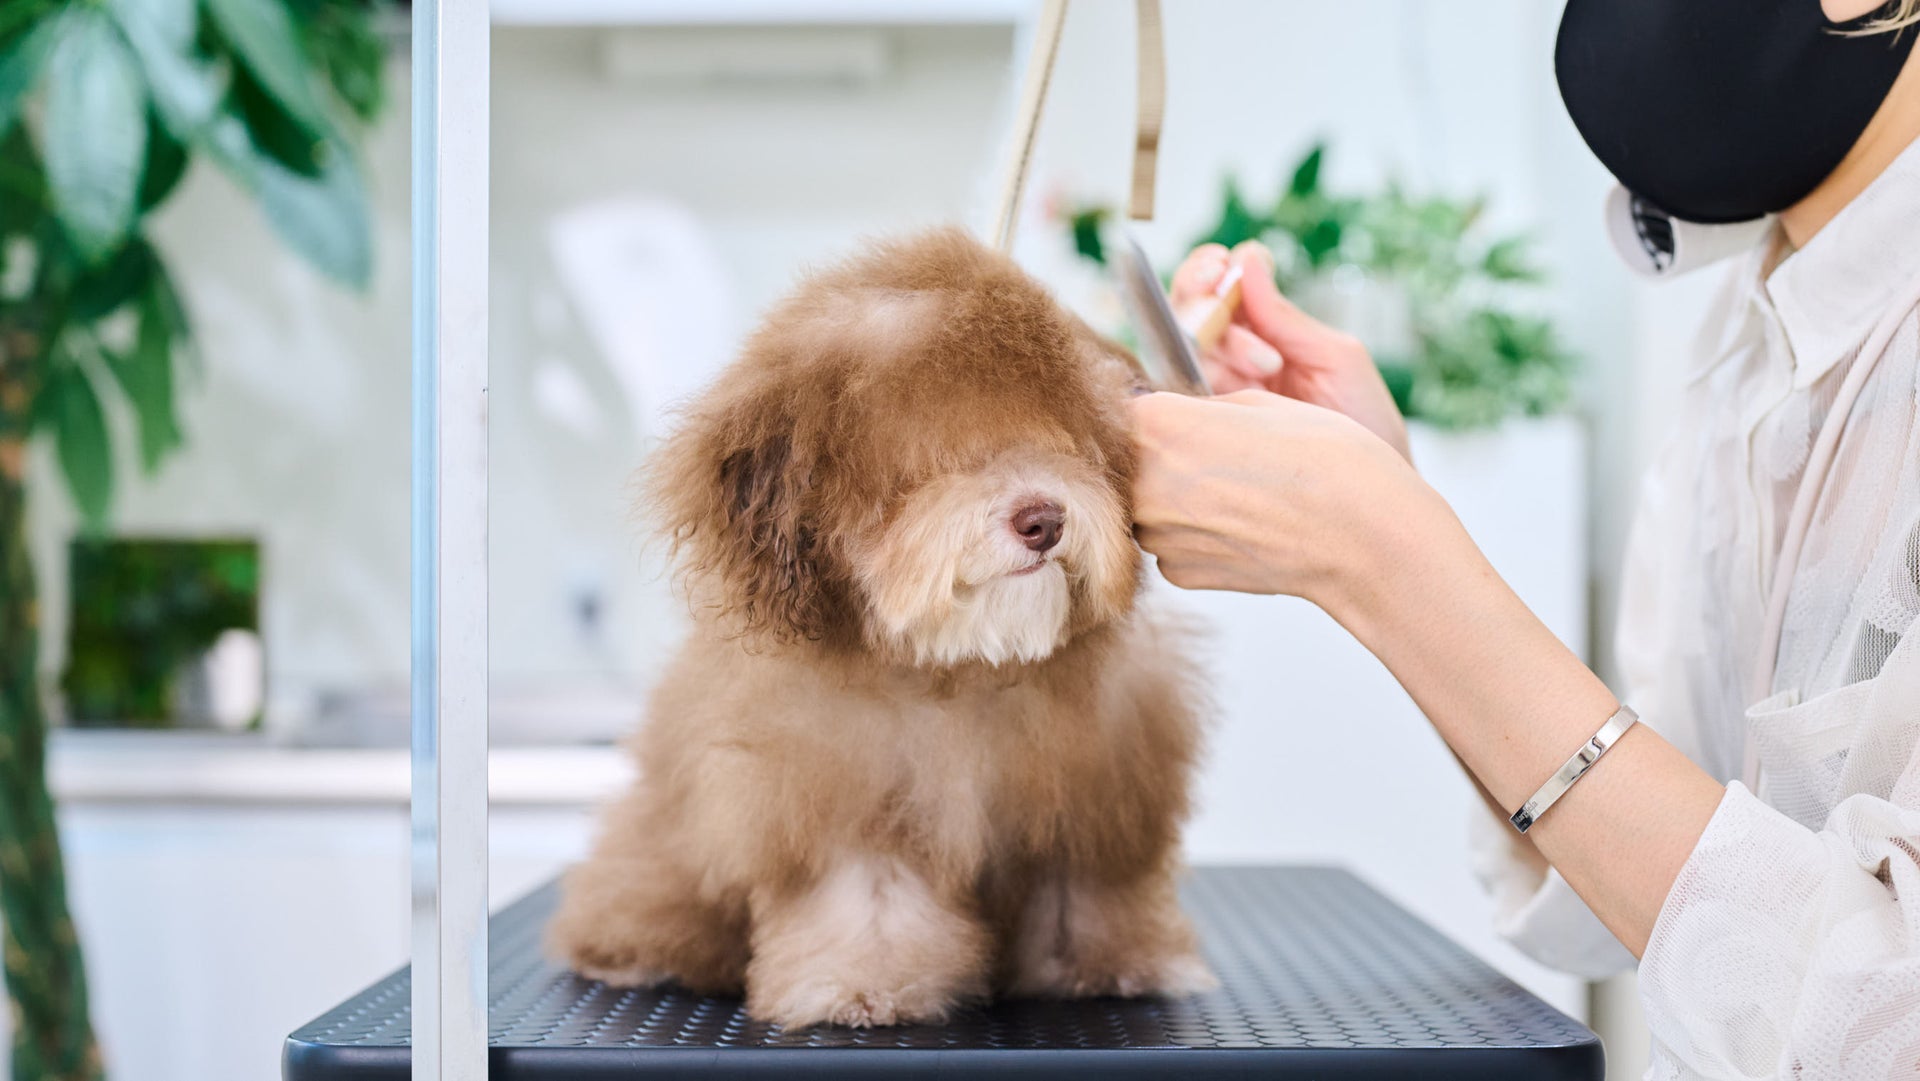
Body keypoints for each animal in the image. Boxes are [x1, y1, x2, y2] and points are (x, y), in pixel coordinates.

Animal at [549, 230, 1205, 1029]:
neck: (957, 670)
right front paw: (864, 987)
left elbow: (1084, 890)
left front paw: (1105, 966)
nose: (1043, 519)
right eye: (931, 466)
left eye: (1061, 442)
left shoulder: (1093, 788)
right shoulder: (843, 794)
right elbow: (868, 898)